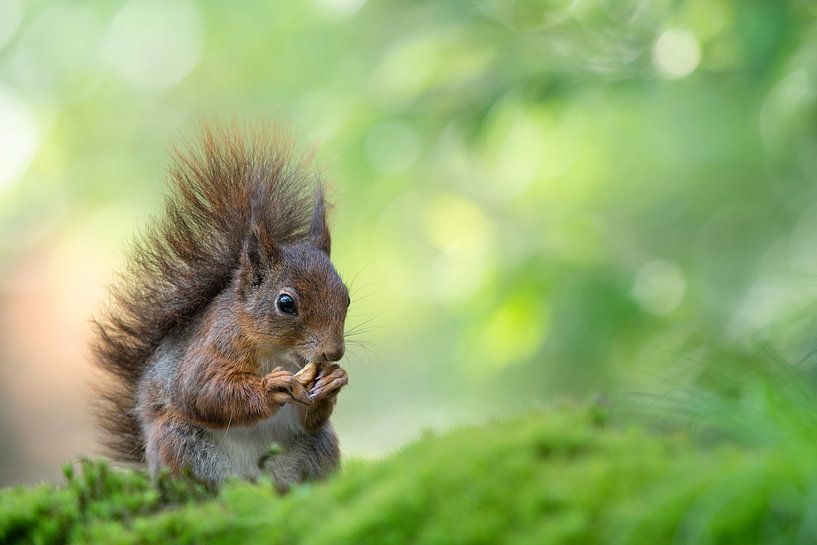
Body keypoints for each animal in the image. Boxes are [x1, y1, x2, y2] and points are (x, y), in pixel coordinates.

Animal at [92, 125, 350, 489]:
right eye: (285, 303)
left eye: (347, 297)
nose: (334, 352)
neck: (276, 352)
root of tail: (252, 478)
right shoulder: (215, 344)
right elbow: (201, 389)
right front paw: (272, 387)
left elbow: (308, 418)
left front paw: (333, 381)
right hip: (179, 441)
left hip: (315, 449)